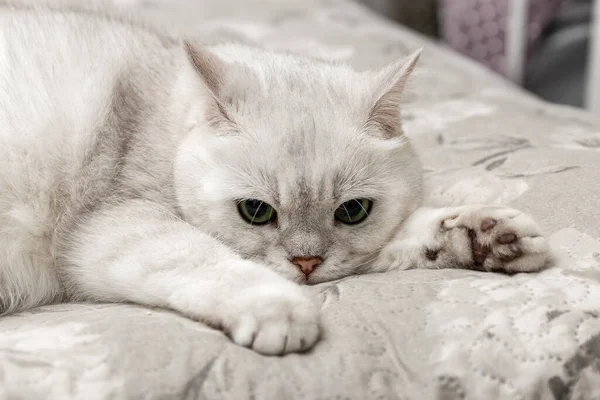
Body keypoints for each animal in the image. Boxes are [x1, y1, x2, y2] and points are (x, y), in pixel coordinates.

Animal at [0, 2, 552, 354]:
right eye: (256, 211)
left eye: (353, 211)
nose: (306, 263)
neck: (158, 117)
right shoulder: (108, 227)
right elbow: (203, 259)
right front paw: (279, 310)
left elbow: (404, 236)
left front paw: (488, 236)